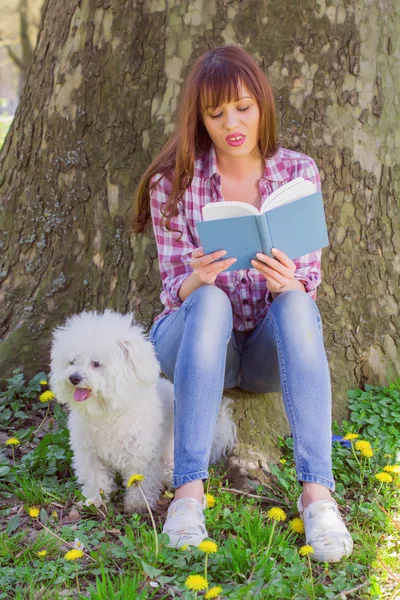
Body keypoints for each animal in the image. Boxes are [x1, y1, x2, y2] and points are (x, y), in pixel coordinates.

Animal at [49, 310, 238, 510]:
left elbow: (141, 481)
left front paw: (138, 504)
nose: (74, 377)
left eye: (96, 363)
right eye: (72, 361)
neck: (109, 412)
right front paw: (94, 500)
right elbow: (95, 479)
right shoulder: (89, 454)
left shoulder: (141, 454)